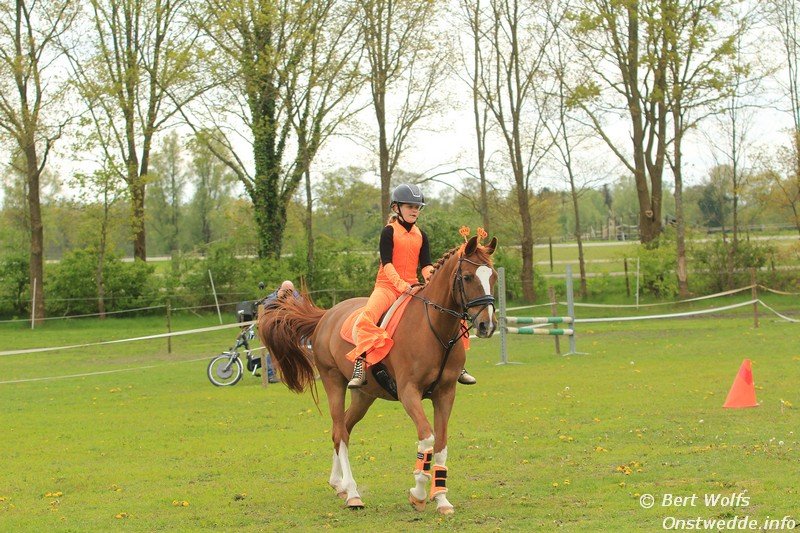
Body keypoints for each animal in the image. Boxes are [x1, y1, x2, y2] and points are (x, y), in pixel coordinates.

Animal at [257, 235, 498, 515]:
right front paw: (418, 493)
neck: (434, 329)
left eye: (493, 276)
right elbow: (427, 438)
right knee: (340, 432)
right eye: (468, 277)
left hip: (364, 395)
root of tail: (326, 315)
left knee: (343, 429)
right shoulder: (408, 392)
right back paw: (352, 494)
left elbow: (441, 444)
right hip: (333, 382)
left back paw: (338, 485)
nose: (487, 325)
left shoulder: (446, 393)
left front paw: (441, 499)